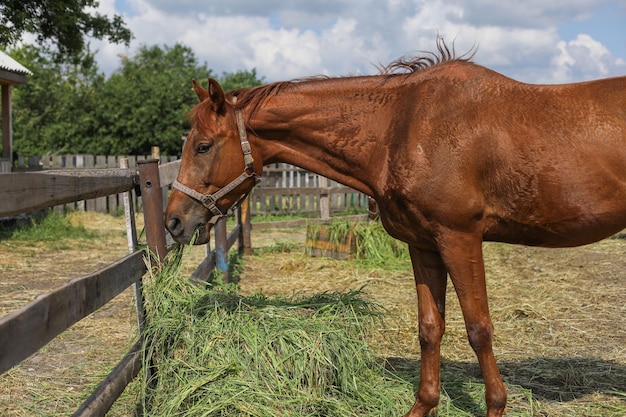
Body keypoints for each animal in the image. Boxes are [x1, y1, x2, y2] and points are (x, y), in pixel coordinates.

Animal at [165, 43, 624, 416]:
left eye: (203, 146)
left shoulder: (460, 239)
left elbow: (479, 329)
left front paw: (496, 405)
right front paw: (423, 405)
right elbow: (430, 328)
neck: (404, 126)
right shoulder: (424, 245)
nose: (174, 222)